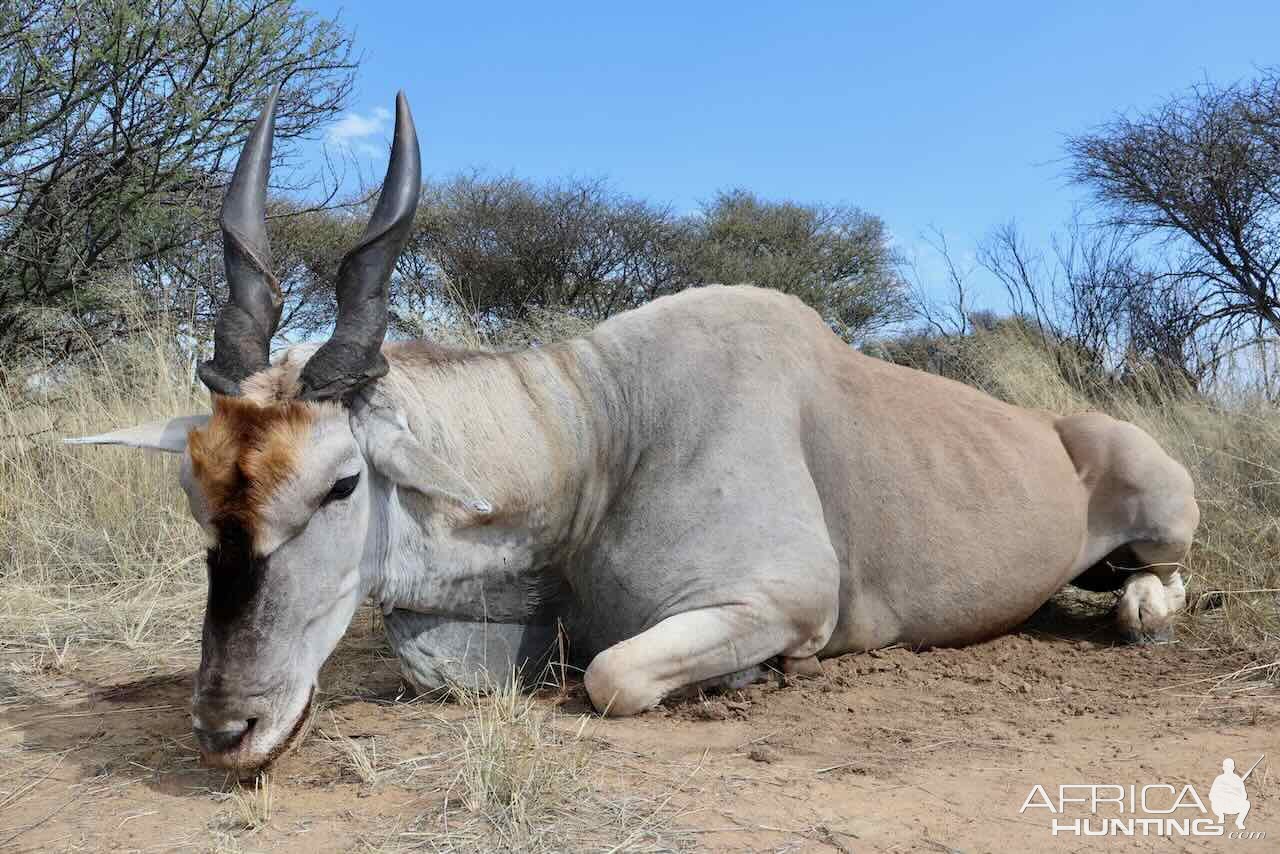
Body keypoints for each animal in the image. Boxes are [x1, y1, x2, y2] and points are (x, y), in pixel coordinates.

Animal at [70, 88, 1198, 773]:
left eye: (342, 483)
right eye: (197, 490)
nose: (227, 726)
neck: (599, 438)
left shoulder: (776, 601)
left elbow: (613, 676)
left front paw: (763, 673)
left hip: (1160, 508)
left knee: (1161, 575)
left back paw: (1137, 606)